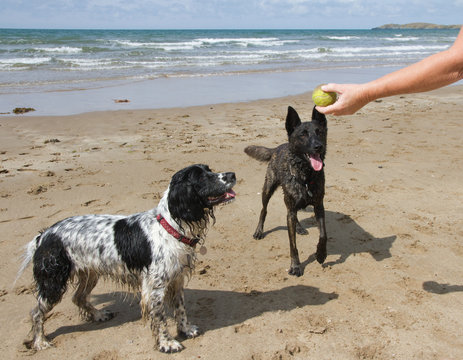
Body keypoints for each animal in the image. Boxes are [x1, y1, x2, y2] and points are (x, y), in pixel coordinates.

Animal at [17, 165, 236, 352]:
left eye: (209, 169)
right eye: (201, 177)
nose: (232, 174)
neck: (169, 227)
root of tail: (44, 236)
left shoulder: (176, 279)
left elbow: (180, 308)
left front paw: (186, 329)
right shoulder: (154, 288)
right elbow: (160, 319)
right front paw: (167, 344)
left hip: (90, 274)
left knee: (78, 297)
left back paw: (98, 314)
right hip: (53, 282)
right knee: (36, 313)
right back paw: (40, 341)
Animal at [245, 106, 328, 276]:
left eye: (319, 132)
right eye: (303, 134)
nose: (318, 146)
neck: (306, 176)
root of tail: (278, 147)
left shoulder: (319, 206)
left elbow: (323, 234)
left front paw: (321, 254)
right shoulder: (291, 208)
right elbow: (293, 245)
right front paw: (295, 266)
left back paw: (300, 228)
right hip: (268, 189)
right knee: (264, 210)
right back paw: (259, 230)